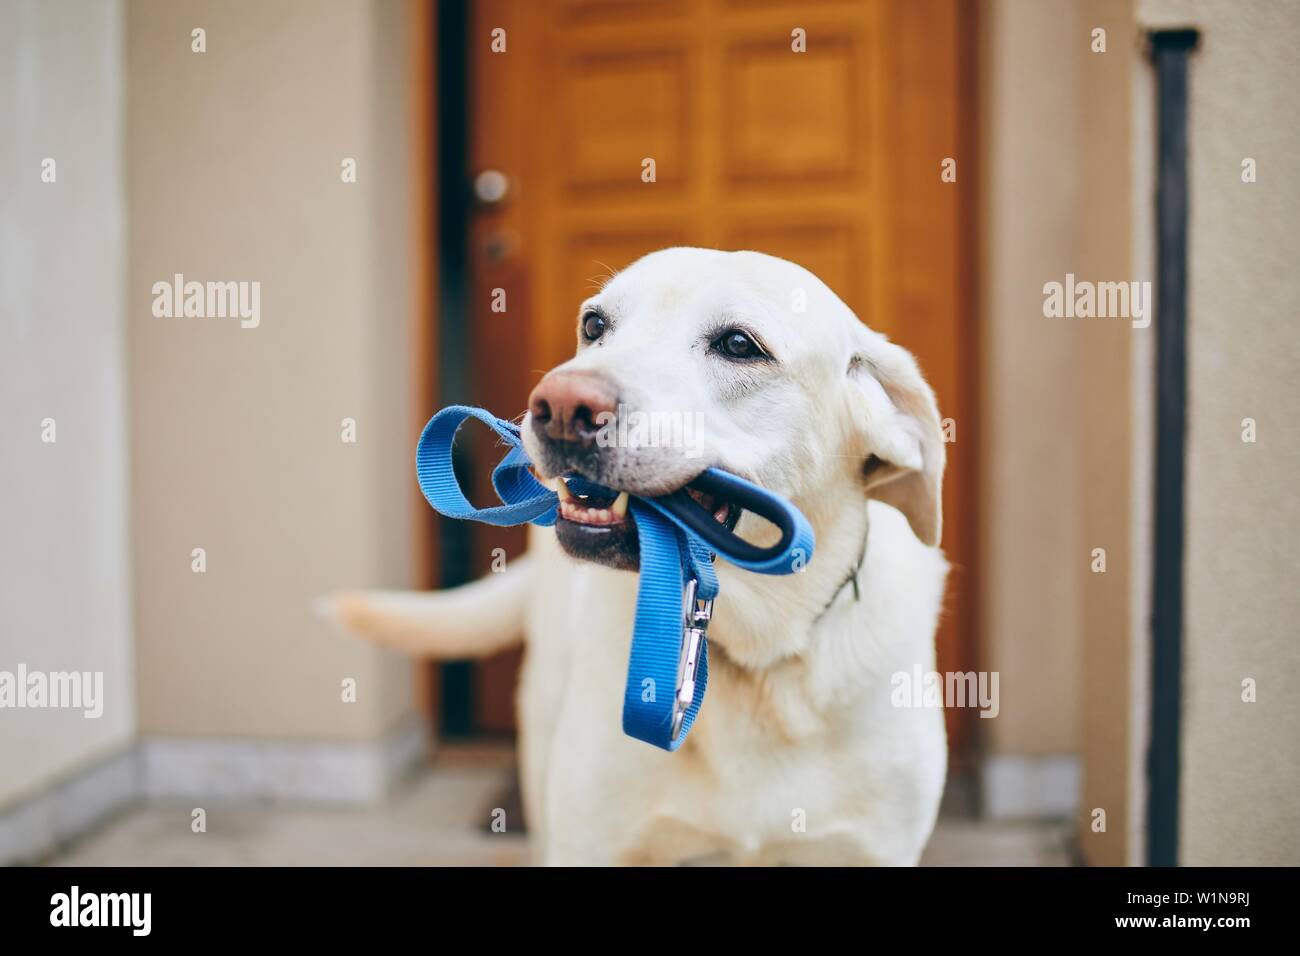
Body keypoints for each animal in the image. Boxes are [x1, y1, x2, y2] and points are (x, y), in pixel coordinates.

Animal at [330, 248, 951, 868]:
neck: (757, 653)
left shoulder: (874, 848)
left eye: (739, 344)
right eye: (594, 326)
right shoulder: (591, 843)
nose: (560, 405)